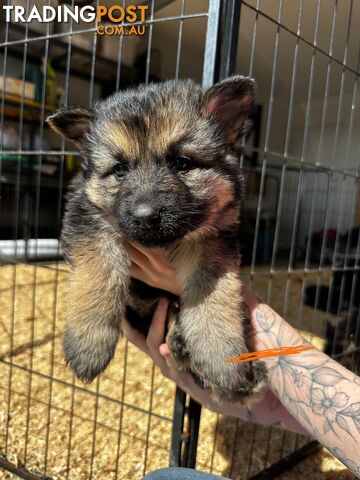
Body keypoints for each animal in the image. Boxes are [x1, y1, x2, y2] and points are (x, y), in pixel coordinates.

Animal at [46, 76, 268, 404]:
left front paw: (219, 356)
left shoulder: (213, 240)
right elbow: (98, 273)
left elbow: (212, 295)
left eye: (182, 163)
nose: (144, 216)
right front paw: (88, 344)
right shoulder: (88, 216)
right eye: (119, 169)